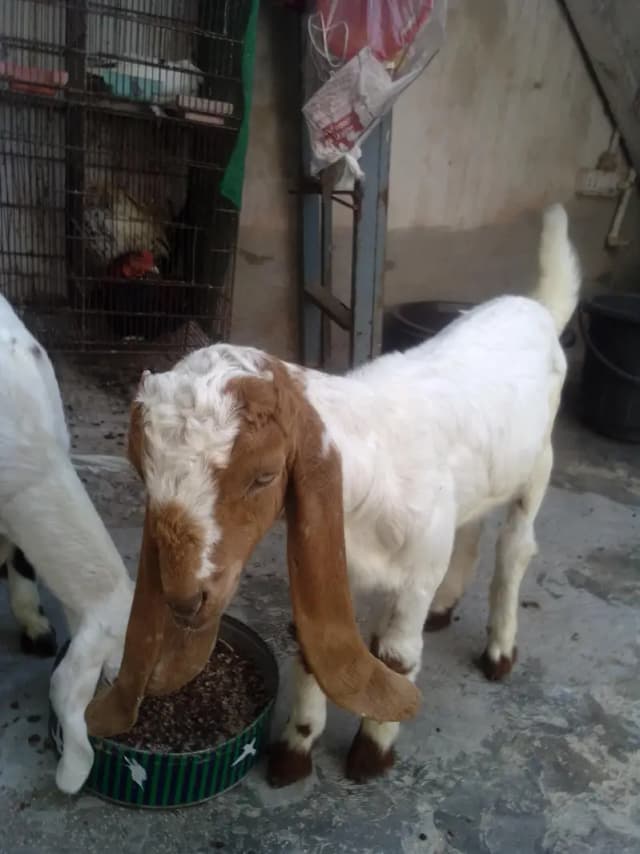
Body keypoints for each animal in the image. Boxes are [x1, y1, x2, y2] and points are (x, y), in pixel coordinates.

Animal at [107, 204, 579, 787]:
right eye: (144, 473)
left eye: (264, 476)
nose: (185, 599)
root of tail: (536, 309)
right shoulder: (334, 558)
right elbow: (317, 647)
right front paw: (294, 752)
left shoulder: (417, 570)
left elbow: (399, 657)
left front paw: (370, 756)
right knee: (471, 526)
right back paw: (445, 607)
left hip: (538, 467)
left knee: (514, 549)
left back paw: (499, 650)